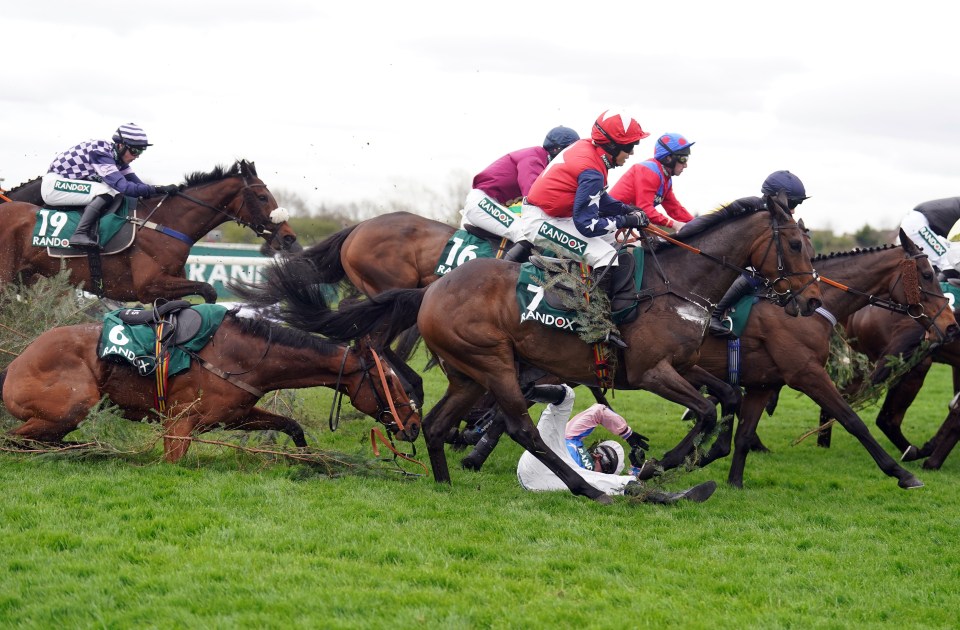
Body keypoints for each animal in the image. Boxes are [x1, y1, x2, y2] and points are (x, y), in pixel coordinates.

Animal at [0, 160, 298, 304]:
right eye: (262, 197)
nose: (289, 237)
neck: (167, 223)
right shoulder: (149, 286)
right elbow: (208, 290)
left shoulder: (164, 289)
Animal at [0, 308, 420, 462]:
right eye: (390, 381)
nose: (414, 424)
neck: (244, 355)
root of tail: (15, 364)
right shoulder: (180, 423)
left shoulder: (234, 414)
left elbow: (290, 425)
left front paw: (307, 458)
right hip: (75, 403)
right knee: (16, 439)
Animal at [248, 195, 816, 502]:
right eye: (793, 244)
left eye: (810, 247)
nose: (809, 300)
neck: (673, 284)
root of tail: (432, 290)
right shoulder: (652, 372)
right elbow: (704, 410)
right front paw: (664, 463)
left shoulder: (684, 365)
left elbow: (725, 397)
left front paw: (693, 457)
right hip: (492, 361)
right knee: (520, 425)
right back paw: (586, 488)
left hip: (467, 371)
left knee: (436, 420)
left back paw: (444, 478)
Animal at [692, 236, 956, 488]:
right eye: (927, 275)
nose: (951, 325)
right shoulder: (807, 374)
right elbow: (852, 420)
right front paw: (902, 474)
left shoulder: (763, 383)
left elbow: (745, 434)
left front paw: (734, 481)